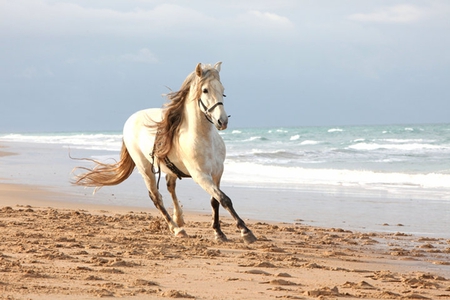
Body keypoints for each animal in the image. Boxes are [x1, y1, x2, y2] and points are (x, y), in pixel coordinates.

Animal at [74, 61, 256, 244]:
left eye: (222, 89)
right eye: (205, 90)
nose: (222, 121)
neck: (203, 138)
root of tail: (130, 120)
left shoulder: (217, 173)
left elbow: (216, 201)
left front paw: (219, 232)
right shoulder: (201, 176)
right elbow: (224, 199)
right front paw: (245, 232)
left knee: (170, 187)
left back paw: (179, 218)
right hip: (145, 168)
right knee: (156, 197)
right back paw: (176, 229)